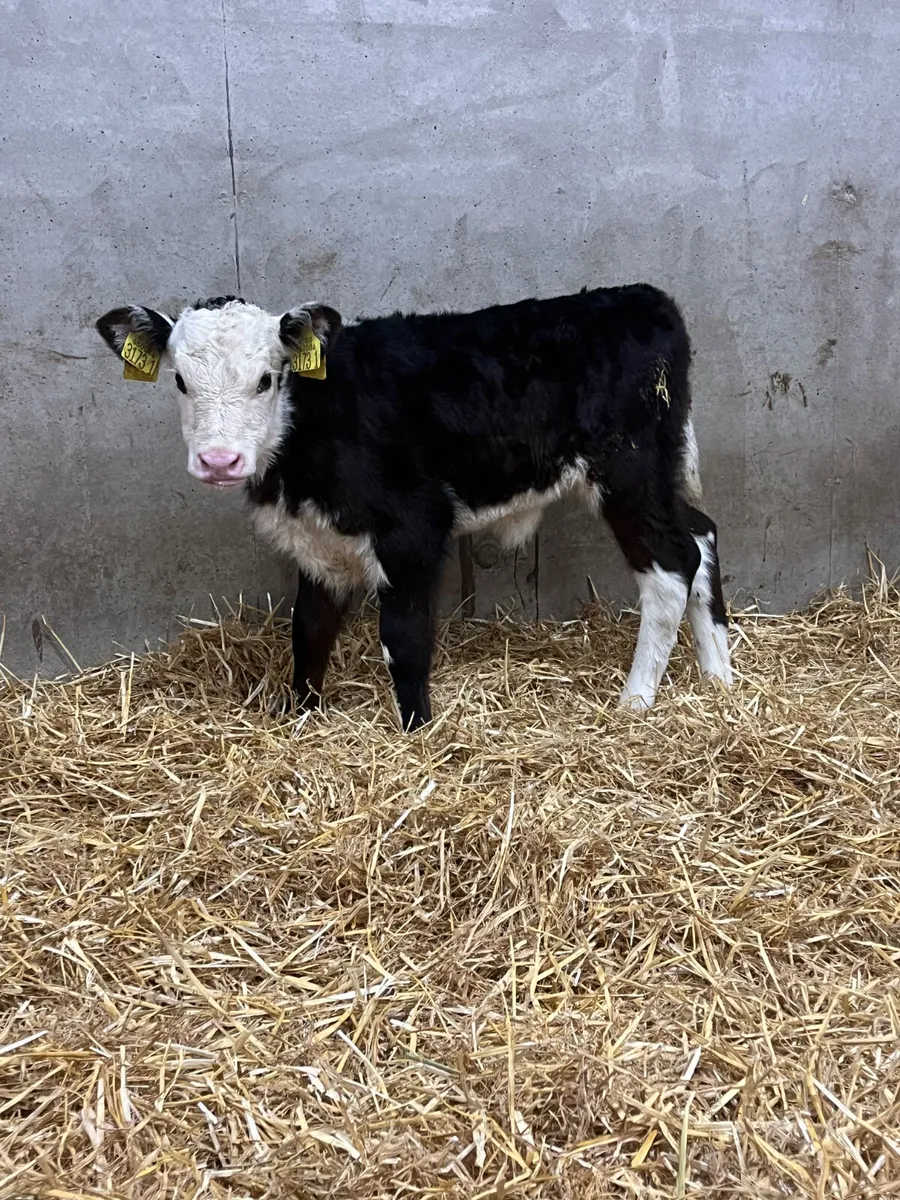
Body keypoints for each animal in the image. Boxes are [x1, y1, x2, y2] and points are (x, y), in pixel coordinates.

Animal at [96, 285, 733, 731]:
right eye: (180, 381)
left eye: (265, 380)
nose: (219, 460)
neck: (315, 419)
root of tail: (639, 297)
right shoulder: (317, 542)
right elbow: (309, 629)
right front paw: (299, 717)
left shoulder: (415, 528)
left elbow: (403, 639)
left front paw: (416, 733)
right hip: (658, 474)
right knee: (701, 536)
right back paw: (719, 679)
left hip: (628, 472)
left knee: (670, 566)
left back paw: (635, 702)